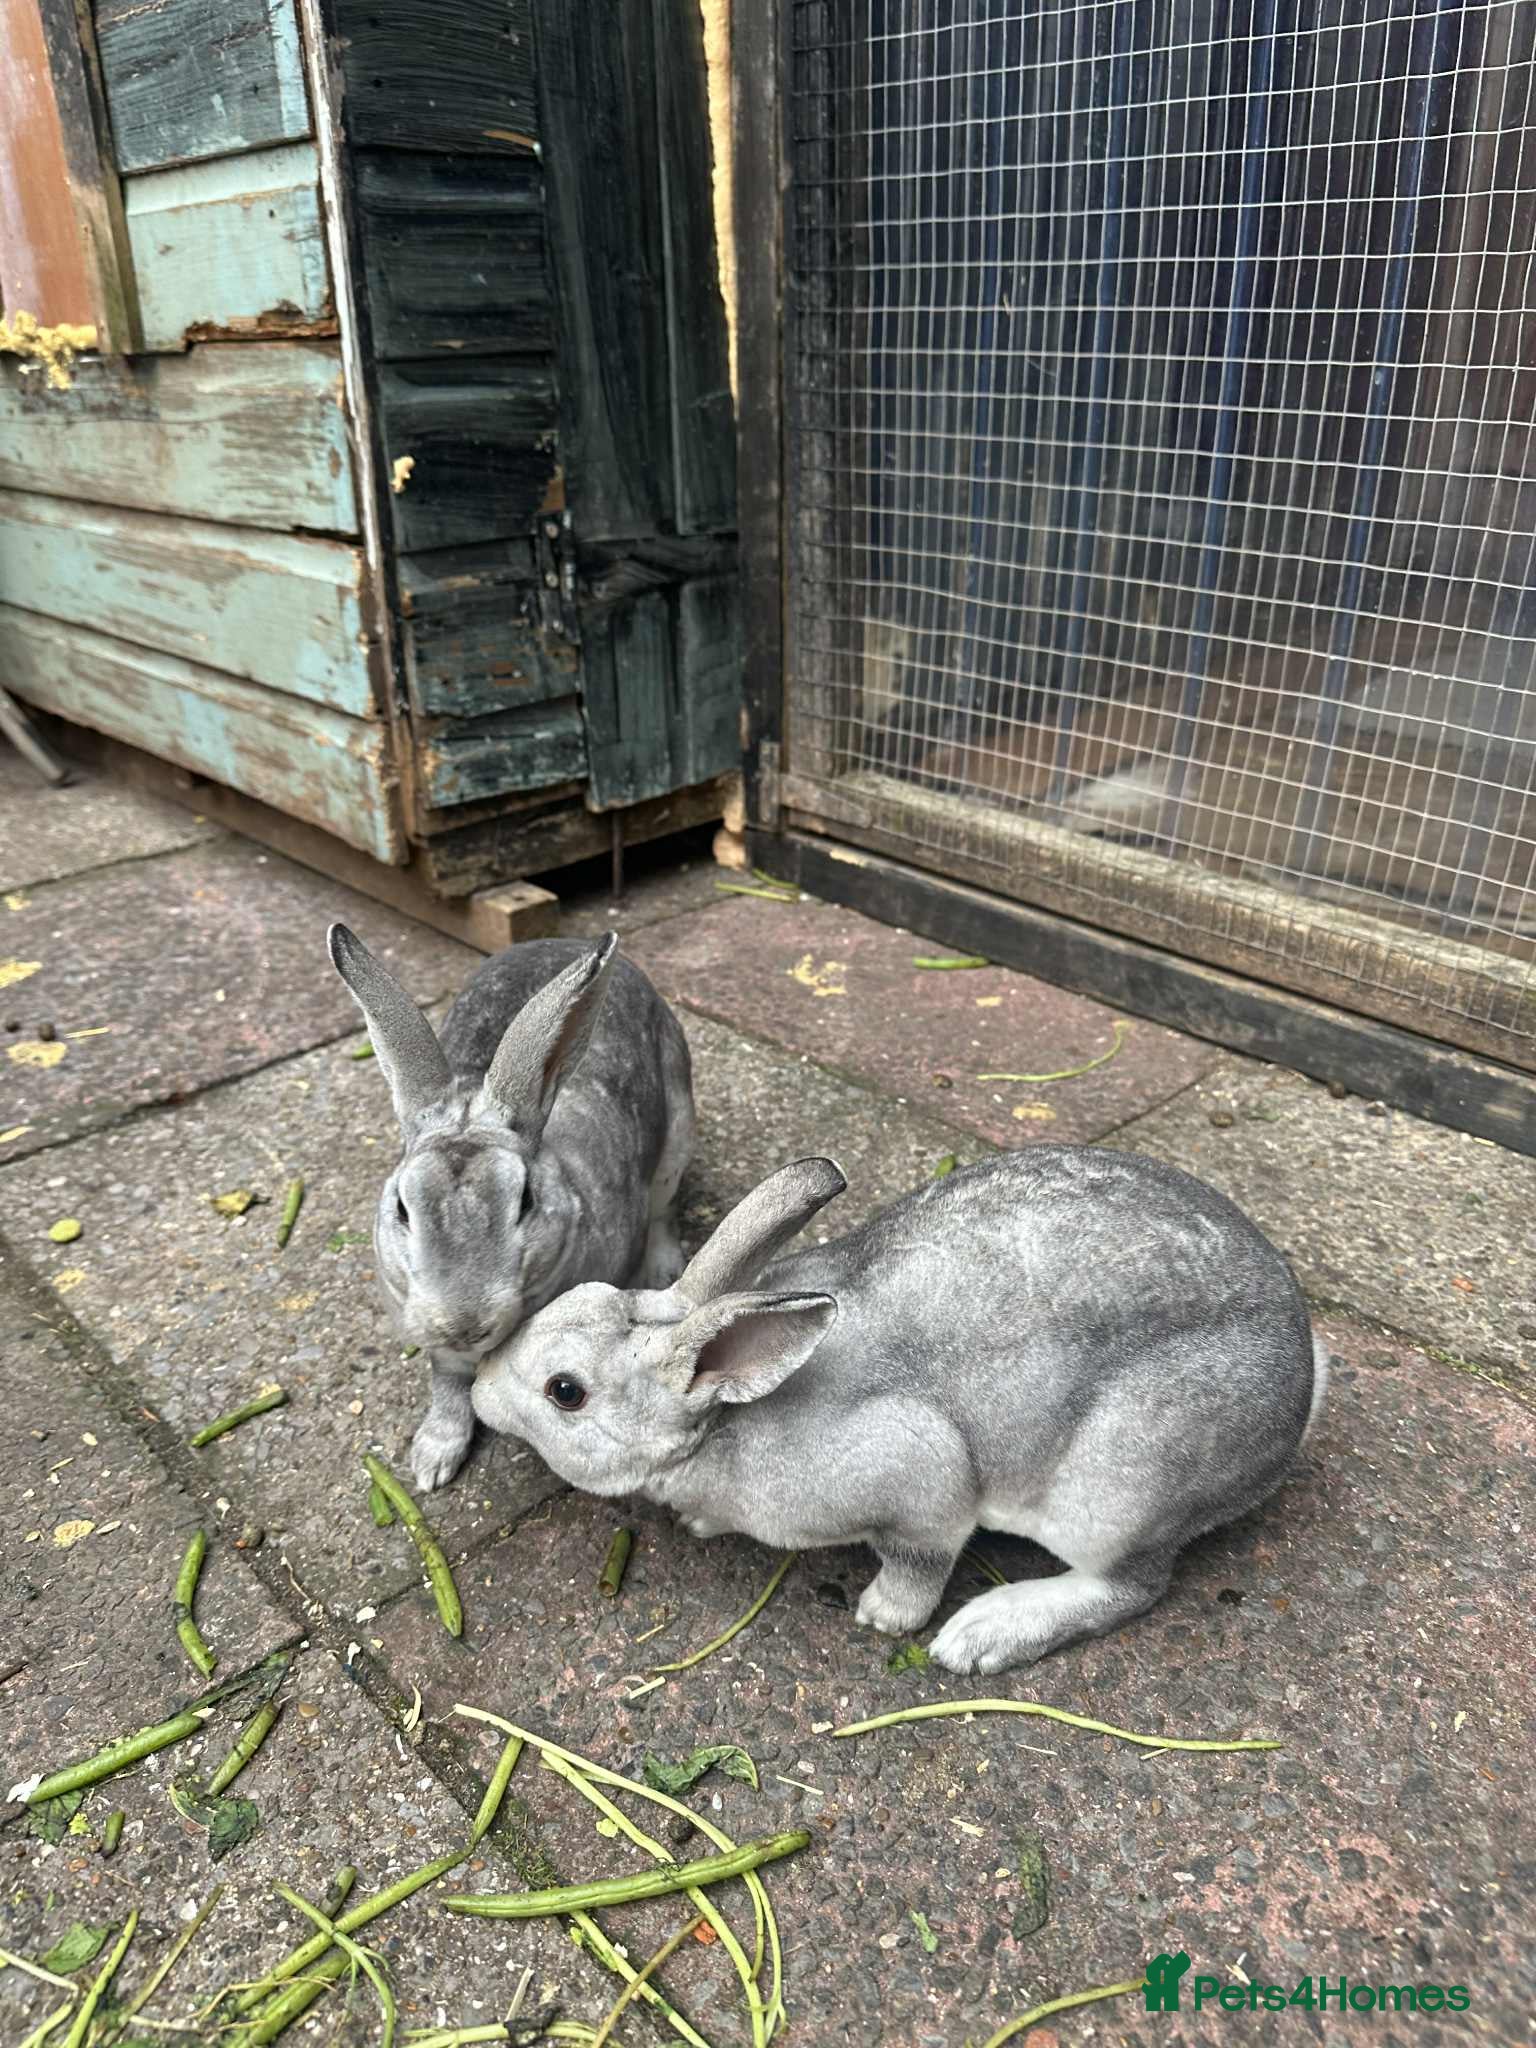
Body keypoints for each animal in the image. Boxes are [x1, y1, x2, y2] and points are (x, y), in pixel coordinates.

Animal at [327, 924, 694, 1492]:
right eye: (403, 1208)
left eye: (525, 1201)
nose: (463, 1323)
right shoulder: (439, 1351)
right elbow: (448, 1387)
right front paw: (432, 1464)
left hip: (677, 1134)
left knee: (664, 1208)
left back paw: (664, 1266)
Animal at [470, 1147, 1327, 1673]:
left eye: (565, 1392)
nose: (478, 1388)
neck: (727, 1418)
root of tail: (1298, 1392)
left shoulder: (920, 1486)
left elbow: (919, 1559)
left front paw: (884, 1617)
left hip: (1118, 1486)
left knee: (1133, 1585)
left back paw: (982, 1636)